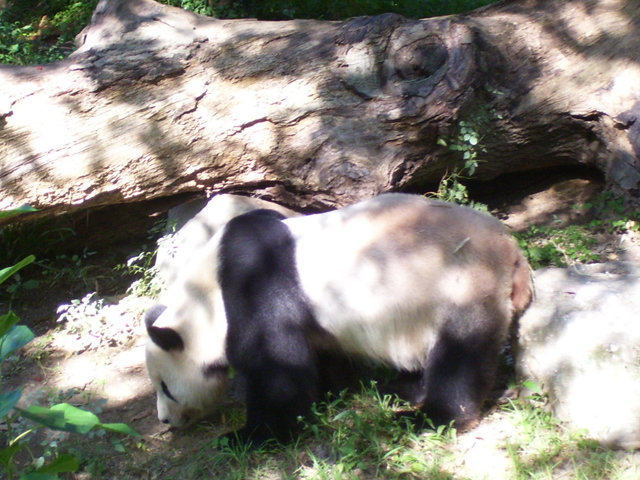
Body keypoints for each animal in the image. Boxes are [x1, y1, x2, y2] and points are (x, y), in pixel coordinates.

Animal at [145, 193, 533, 445]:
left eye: (166, 387)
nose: (164, 420)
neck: (206, 295)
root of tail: (512, 253)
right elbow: (318, 355)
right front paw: (329, 394)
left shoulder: (256, 280)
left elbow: (277, 365)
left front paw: (248, 435)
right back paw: (401, 388)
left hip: (460, 284)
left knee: (460, 355)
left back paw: (428, 416)